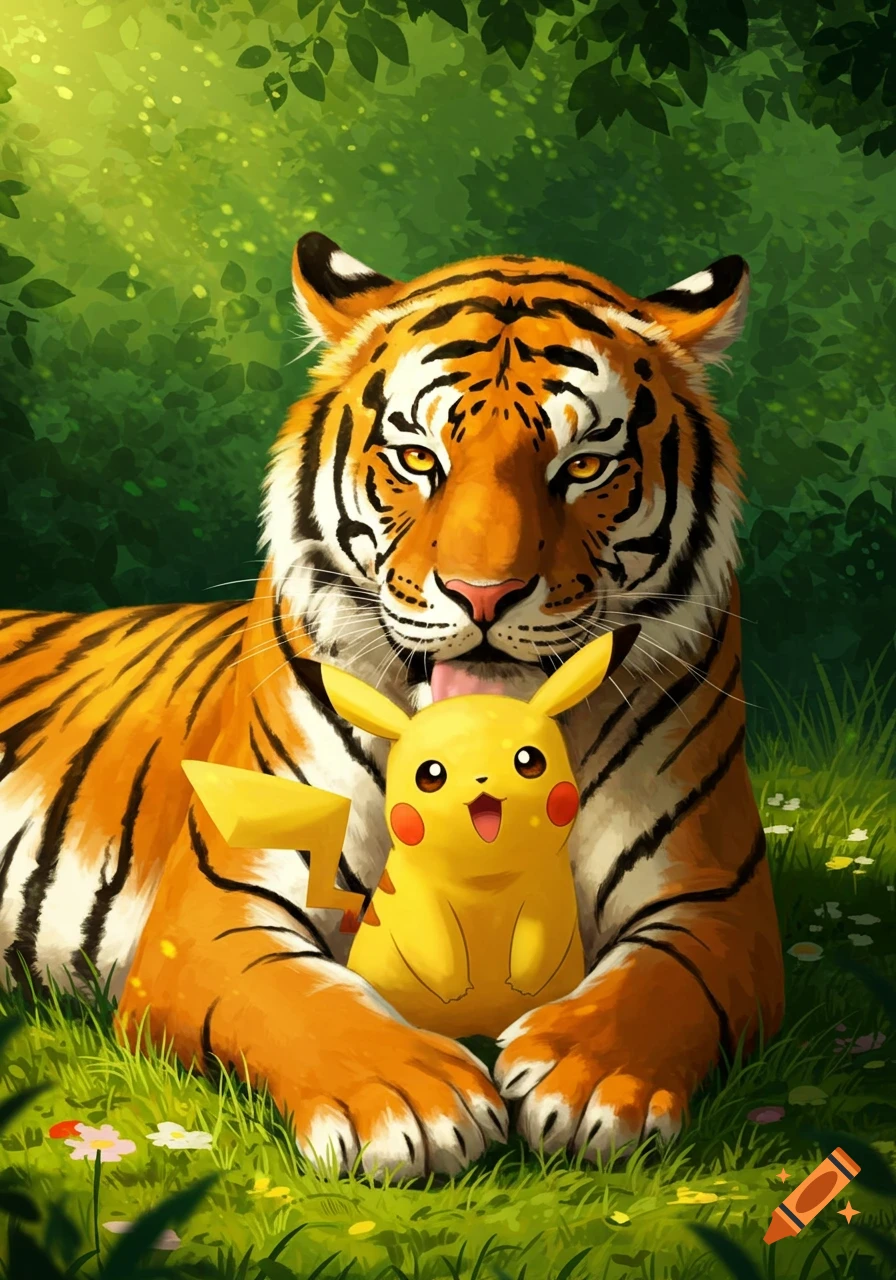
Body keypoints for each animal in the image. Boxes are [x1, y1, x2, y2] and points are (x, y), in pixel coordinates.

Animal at [0, 233, 784, 1178]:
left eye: (584, 467)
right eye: (419, 459)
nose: (484, 595)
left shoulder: (713, 905)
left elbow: (655, 987)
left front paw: (589, 1076)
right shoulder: (218, 912)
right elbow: (302, 996)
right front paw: (411, 1101)